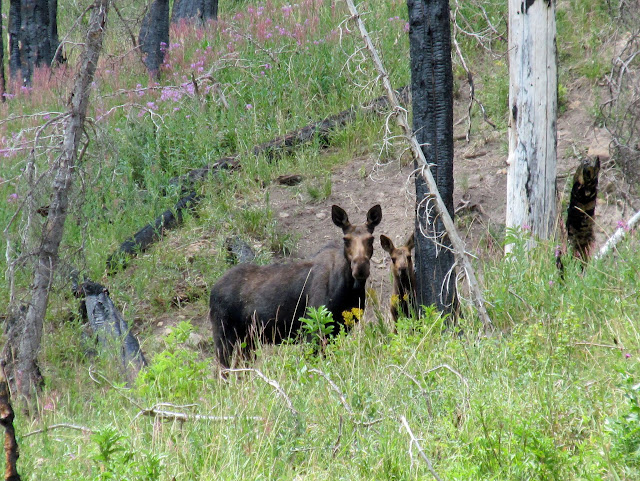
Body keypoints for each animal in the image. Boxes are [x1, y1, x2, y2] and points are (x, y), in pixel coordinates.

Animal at [210, 203, 382, 368]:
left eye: (371, 239)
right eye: (346, 239)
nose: (360, 267)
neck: (349, 289)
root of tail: (213, 291)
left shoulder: (339, 329)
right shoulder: (313, 329)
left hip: (248, 339)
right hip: (224, 336)